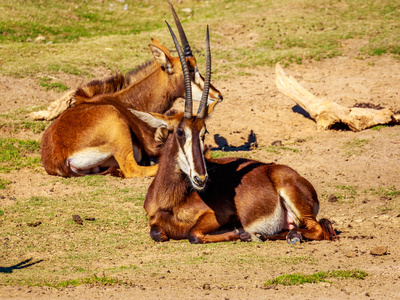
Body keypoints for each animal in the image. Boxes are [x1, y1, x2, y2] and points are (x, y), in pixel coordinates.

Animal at [41, 1, 223, 178]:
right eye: (191, 70)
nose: (218, 95)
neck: (129, 102)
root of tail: (60, 159)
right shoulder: (152, 145)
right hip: (118, 129)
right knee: (134, 169)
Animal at [133, 22, 340, 244]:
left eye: (204, 133)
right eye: (180, 131)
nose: (201, 179)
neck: (171, 200)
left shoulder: (219, 214)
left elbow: (193, 234)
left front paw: (241, 233)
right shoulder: (154, 222)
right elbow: (157, 233)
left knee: (317, 229)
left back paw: (275, 235)